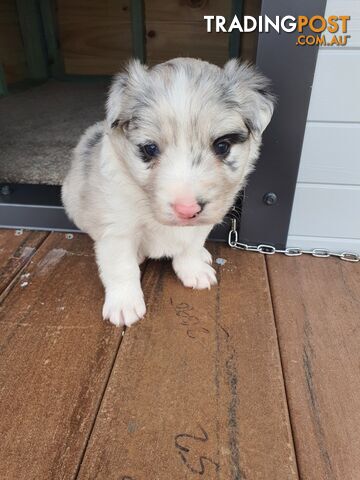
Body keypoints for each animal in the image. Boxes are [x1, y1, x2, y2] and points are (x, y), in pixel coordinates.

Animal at [62, 56, 276, 326]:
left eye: (222, 146)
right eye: (150, 149)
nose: (187, 210)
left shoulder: (204, 221)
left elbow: (191, 246)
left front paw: (194, 270)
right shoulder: (117, 229)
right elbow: (121, 267)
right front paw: (124, 303)